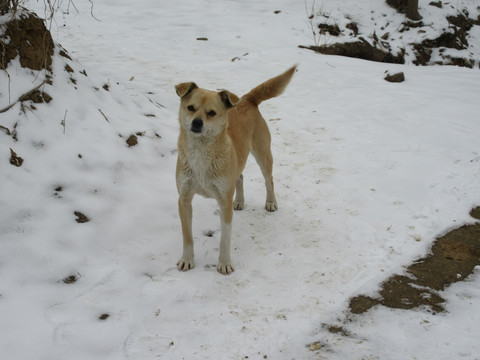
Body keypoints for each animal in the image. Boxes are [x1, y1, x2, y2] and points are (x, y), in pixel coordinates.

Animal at [175, 66, 296, 274]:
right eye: (190, 108)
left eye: (212, 113)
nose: (197, 123)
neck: (200, 151)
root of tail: (247, 99)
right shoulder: (184, 198)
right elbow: (187, 236)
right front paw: (187, 260)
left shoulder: (224, 201)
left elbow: (225, 239)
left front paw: (224, 263)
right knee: (240, 177)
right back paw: (239, 201)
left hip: (263, 154)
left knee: (269, 179)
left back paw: (271, 202)